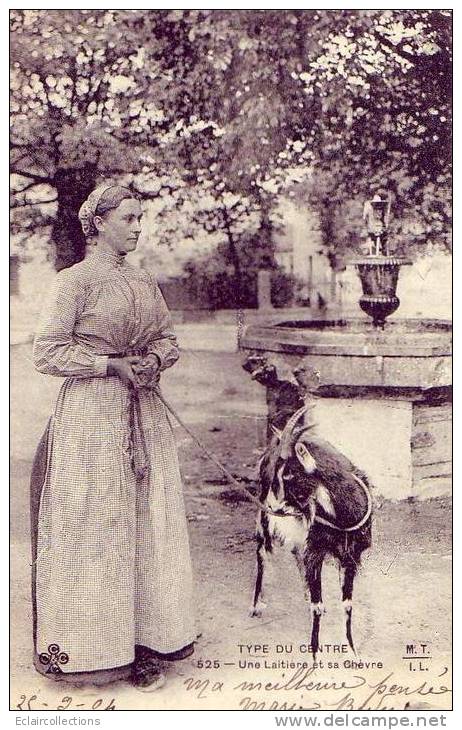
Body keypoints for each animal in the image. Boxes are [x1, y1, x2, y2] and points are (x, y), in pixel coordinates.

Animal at [251, 400, 374, 656]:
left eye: (289, 475)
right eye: (277, 475)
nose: (273, 507)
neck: (342, 518)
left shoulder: (351, 556)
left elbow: (347, 604)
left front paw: (352, 650)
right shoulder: (316, 552)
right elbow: (317, 606)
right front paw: (314, 658)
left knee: (297, 556)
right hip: (263, 525)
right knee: (262, 555)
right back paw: (256, 606)